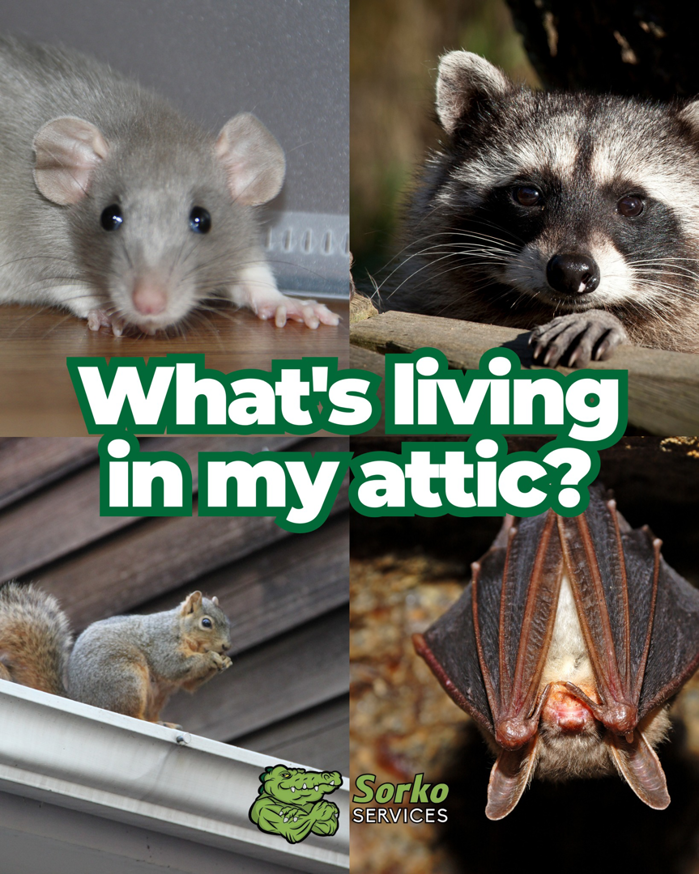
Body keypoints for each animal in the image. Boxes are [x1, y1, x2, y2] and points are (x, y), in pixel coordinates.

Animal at [0, 581, 232, 724]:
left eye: (228, 621)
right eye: (206, 623)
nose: (226, 646)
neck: (180, 630)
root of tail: (81, 700)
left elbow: (189, 684)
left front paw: (226, 661)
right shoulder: (161, 643)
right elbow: (174, 667)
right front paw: (211, 657)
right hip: (126, 679)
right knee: (128, 713)